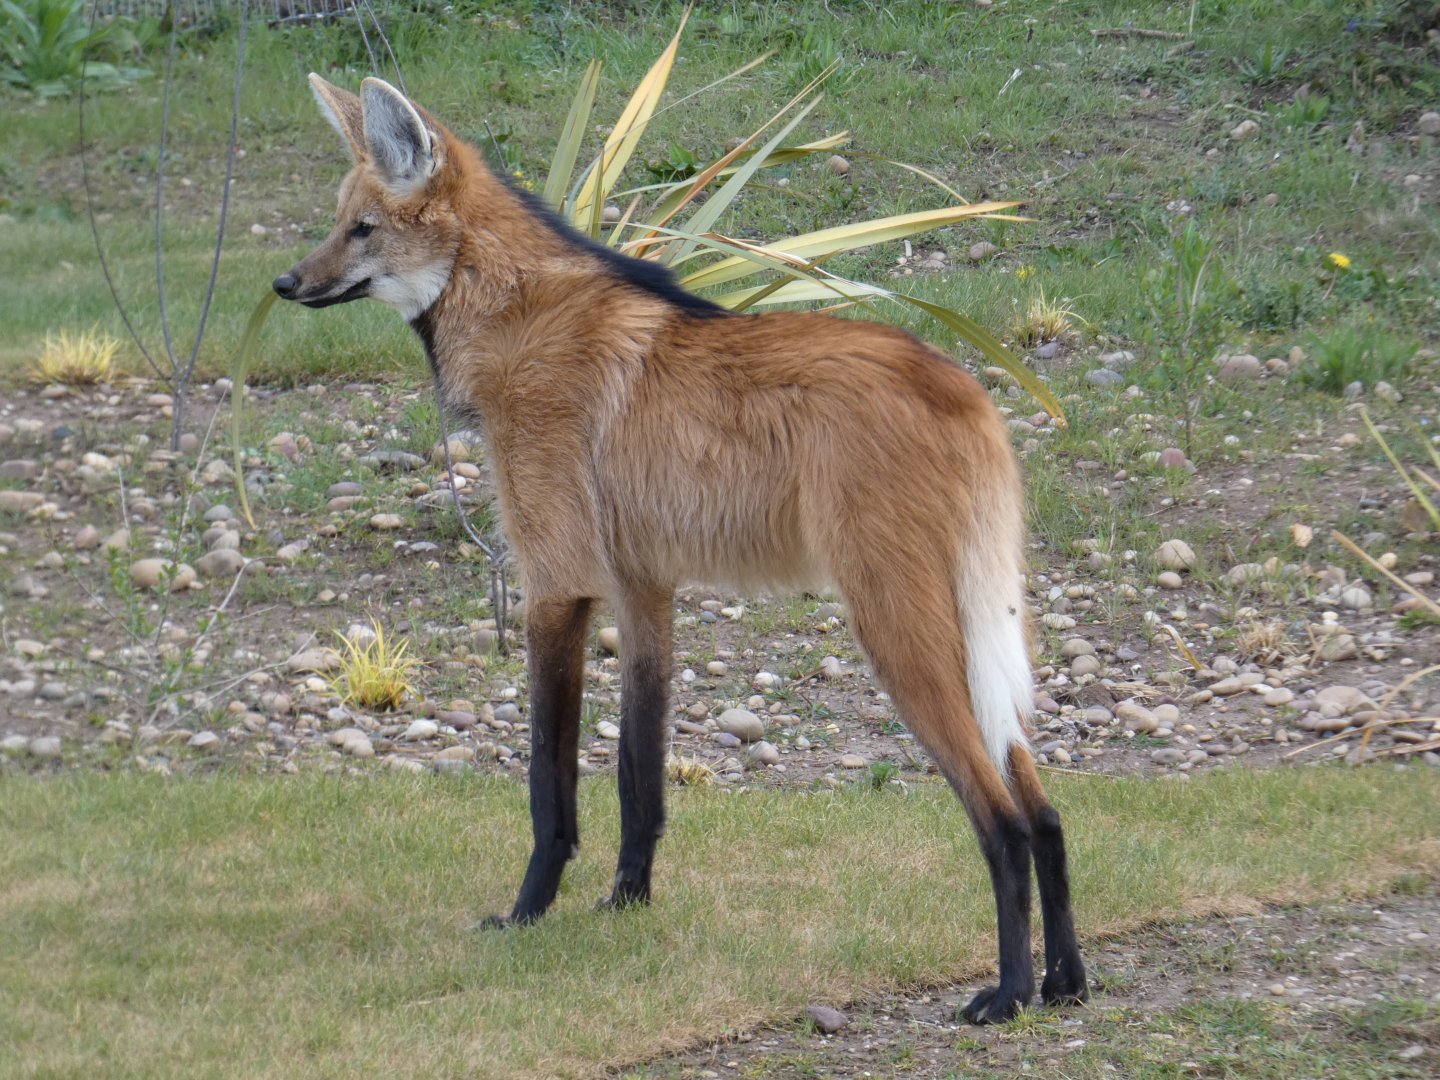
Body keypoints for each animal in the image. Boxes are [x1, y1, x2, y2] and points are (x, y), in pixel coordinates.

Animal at [274, 74, 1087, 1023]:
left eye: (363, 228)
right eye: (339, 221)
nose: (286, 282)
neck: (511, 313)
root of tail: (960, 382)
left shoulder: (558, 582)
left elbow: (550, 785)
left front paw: (525, 915)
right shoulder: (643, 585)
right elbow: (639, 771)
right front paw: (626, 903)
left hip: (894, 624)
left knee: (1003, 819)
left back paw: (1009, 993)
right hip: (972, 613)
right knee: (1046, 809)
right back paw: (1067, 982)